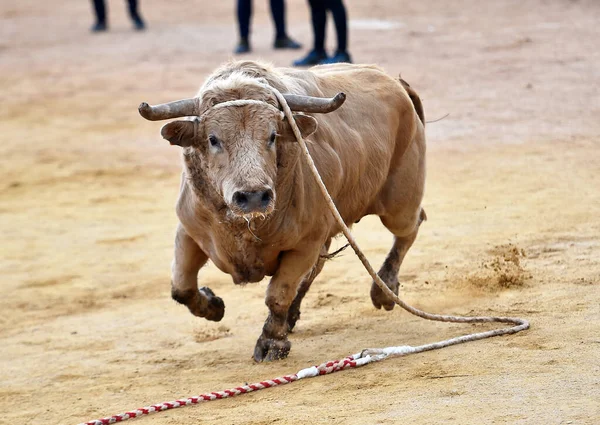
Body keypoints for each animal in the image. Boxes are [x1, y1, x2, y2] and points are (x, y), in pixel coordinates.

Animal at [139, 59, 426, 362]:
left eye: (273, 136)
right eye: (213, 139)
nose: (253, 197)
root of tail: (396, 83)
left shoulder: (305, 243)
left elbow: (278, 294)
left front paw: (271, 343)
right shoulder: (189, 231)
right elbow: (181, 287)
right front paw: (214, 306)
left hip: (400, 202)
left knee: (409, 228)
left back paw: (385, 289)